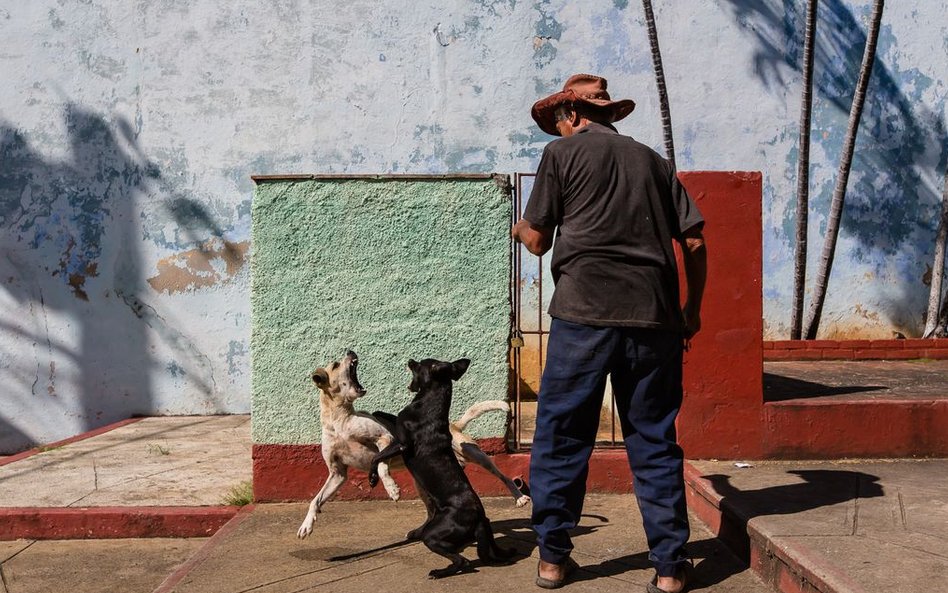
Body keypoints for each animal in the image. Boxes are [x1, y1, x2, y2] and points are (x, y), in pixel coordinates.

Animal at [368, 356, 516, 580]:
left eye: (420, 364)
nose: (410, 359)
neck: (430, 402)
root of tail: (479, 519)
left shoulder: (401, 444)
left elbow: (376, 457)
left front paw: (373, 478)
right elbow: (383, 415)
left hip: (433, 535)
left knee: (462, 561)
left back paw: (440, 572)